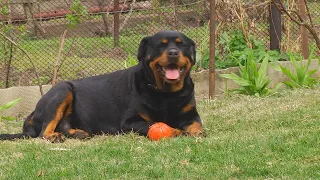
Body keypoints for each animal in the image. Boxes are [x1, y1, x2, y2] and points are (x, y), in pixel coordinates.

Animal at [0, 30, 204, 142]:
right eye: (161, 45)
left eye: (182, 45)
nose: (173, 53)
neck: (166, 93)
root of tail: (32, 114)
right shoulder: (129, 122)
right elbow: (153, 124)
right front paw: (175, 131)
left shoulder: (191, 115)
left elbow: (197, 125)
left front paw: (196, 132)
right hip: (62, 89)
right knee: (44, 130)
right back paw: (53, 136)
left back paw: (77, 133)